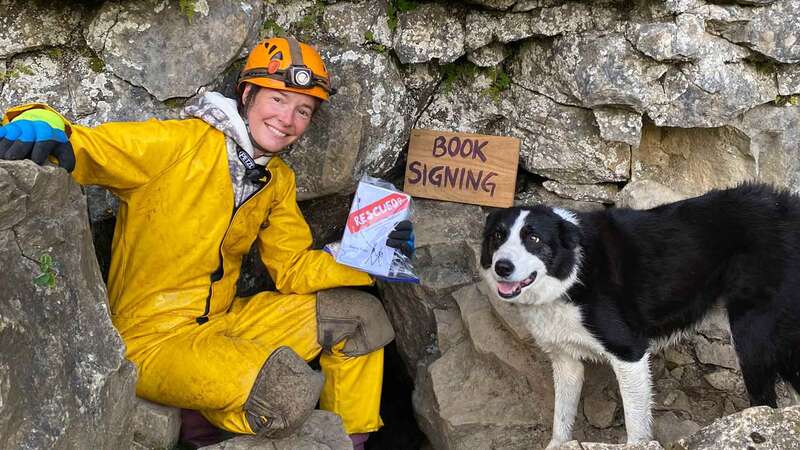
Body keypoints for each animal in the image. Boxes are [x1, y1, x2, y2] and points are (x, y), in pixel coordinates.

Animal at [478, 182, 796, 446]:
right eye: (497, 237)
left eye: (533, 238)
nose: (502, 267)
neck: (573, 272)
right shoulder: (565, 360)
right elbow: (562, 417)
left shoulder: (629, 353)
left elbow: (635, 421)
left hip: (752, 336)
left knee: (766, 401)